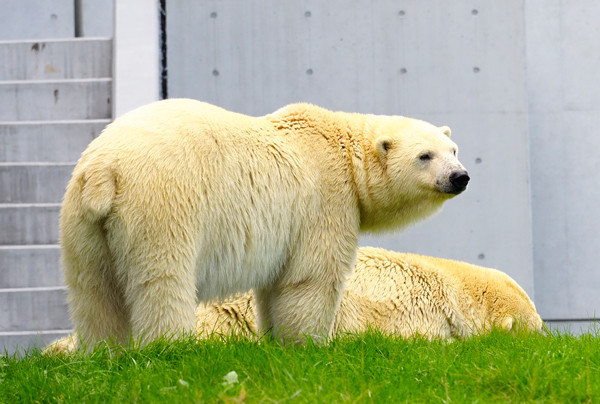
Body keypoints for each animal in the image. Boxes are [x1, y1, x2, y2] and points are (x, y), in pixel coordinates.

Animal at [59, 99, 468, 348]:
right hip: (162, 205)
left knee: (94, 291)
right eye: (424, 155)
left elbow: (274, 285)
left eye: (453, 150)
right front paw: (311, 345)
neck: (343, 149)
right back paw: (171, 346)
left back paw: (105, 352)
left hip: (83, 223)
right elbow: (312, 278)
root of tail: (104, 171)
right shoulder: (325, 200)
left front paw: (275, 342)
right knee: (161, 283)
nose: (460, 177)